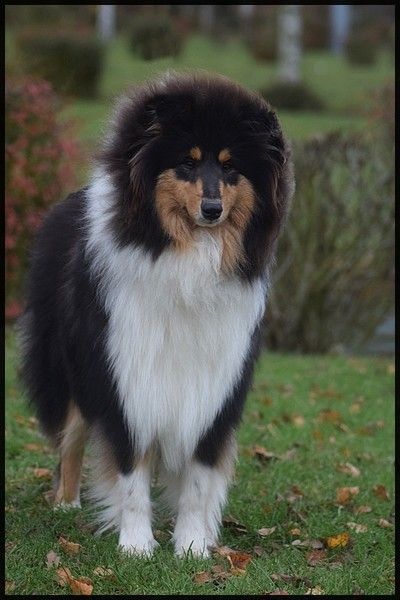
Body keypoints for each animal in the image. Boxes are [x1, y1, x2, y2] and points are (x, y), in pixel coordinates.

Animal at [19, 72, 294, 557]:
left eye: (230, 167)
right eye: (187, 162)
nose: (212, 210)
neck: (190, 257)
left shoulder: (217, 384)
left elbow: (199, 478)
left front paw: (192, 545)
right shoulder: (126, 375)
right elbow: (130, 472)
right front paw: (136, 544)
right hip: (70, 367)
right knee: (71, 437)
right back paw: (66, 503)